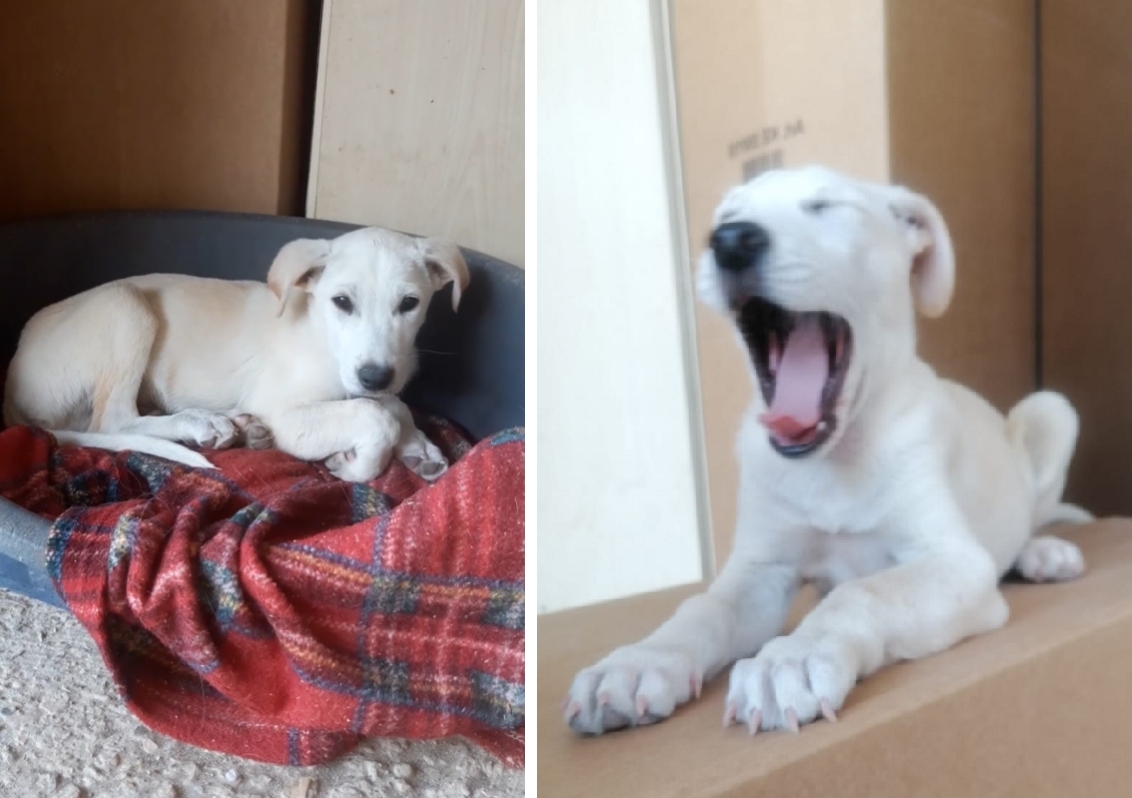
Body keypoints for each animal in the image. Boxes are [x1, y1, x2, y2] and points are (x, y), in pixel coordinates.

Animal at [3, 227, 469, 483]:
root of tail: (11, 383)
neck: (320, 333)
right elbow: (376, 416)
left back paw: (243, 429)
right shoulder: (287, 414)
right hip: (124, 304)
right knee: (112, 420)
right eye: (341, 301)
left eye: (409, 304)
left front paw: (419, 448)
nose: (375, 376)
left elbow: (392, 405)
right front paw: (356, 465)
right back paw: (201, 423)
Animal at [563, 165, 1092, 735]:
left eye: (825, 207)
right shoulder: (761, 569)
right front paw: (638, 661)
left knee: (1028, 519)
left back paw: (1042, 552)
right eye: (727, 217)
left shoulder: (955, 561)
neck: (834, 461)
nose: (730, 241)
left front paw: (789, 660)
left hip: (1053, 411)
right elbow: (703, 607)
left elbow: (859, 592)